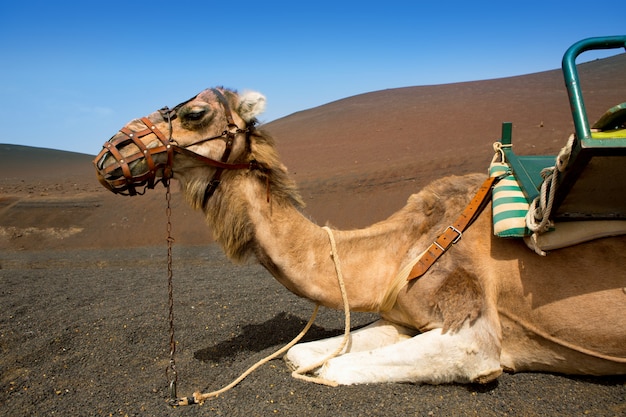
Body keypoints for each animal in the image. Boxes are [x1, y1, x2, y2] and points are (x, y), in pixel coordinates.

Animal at [92, 87, 624, 386]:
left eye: (196, 113)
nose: (110, 154)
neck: (406, 245)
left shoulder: (472, 334)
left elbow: (330, 368)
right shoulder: (406, 320)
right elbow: (300, 354)